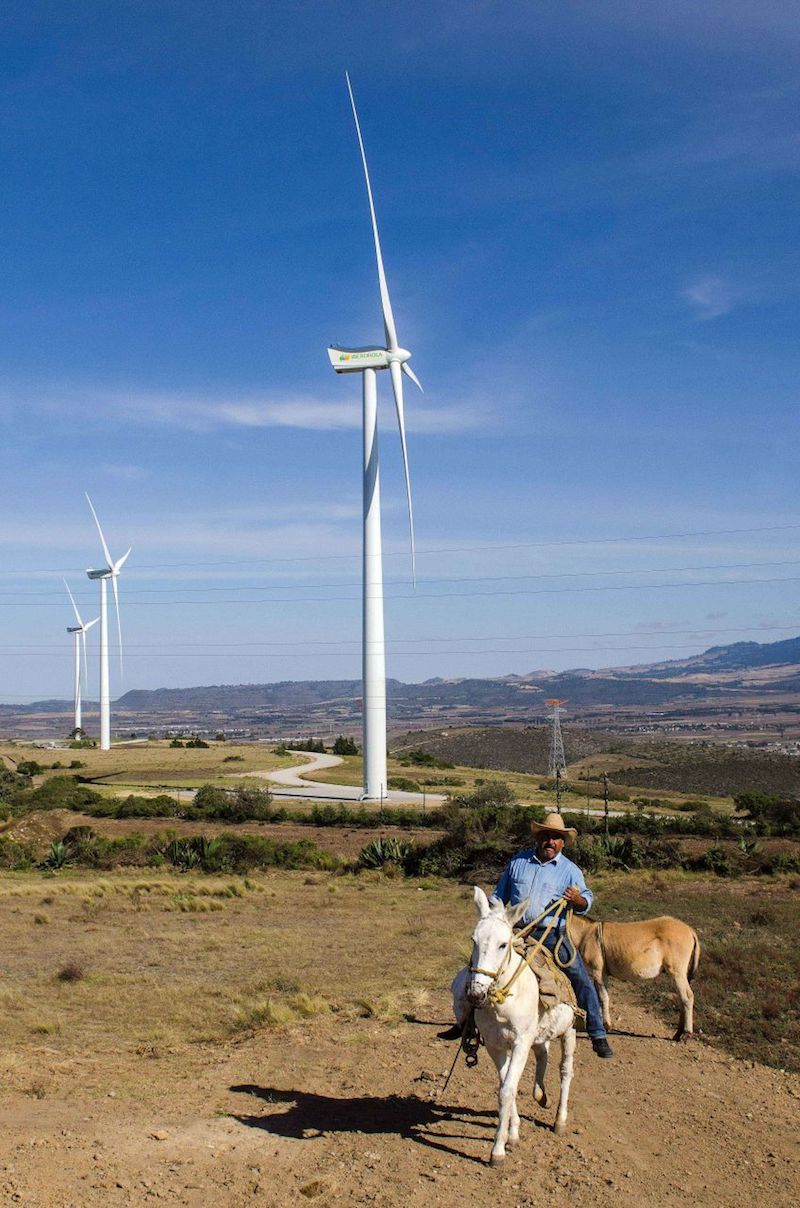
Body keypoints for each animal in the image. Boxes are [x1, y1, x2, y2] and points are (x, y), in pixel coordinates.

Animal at [450, 886, 577, 1166]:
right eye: (474, 940)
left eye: (503, 944)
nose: (476, 994)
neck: (503, 1002)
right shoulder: (495, 1045)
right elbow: (505, 1084)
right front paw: (513, 1133)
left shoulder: (520, 1043)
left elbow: (508, 1089)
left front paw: (497, 1150)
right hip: (539, 1036)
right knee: (543, 1055)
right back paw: (540, 1095)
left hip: (570, 1032)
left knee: (565, 1071)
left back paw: (560, 1120)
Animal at [569, 914, 700, 1040]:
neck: (585, 934)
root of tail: (689, 929)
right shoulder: (603, 974)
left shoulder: (598, 972)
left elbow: (602, 998)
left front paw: (606, 1026)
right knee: (681, 998)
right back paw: (678, 1033)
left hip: (677, 971)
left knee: (687, 997)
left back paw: (686, 1033)